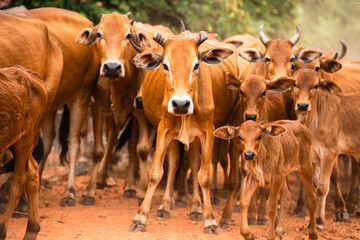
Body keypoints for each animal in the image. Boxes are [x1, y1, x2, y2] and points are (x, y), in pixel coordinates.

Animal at [0, 65, 47, 240]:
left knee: (19, 179)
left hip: (24, 139)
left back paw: (2, 230)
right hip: (15, 142)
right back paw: (31, 229)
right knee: (33, 171)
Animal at [129, 30, 239, 234]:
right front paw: (140, 218)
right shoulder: (164, 130)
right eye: (165, 65)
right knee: (174, 163)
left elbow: (204, 177)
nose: (180, 104)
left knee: (195, 163)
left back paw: (196, 208)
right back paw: (165, 206)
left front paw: (210, 220)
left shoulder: (207, 132)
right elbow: (155, 174)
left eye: (196, 65)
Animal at [292, 68, 360, 231]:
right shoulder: (316, 157)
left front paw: (320, 222)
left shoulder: (329, 153)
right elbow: (316, 186)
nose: (302, 105)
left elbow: (323, 187)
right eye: (295, 83)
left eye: (316, 85)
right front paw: (311, 223)